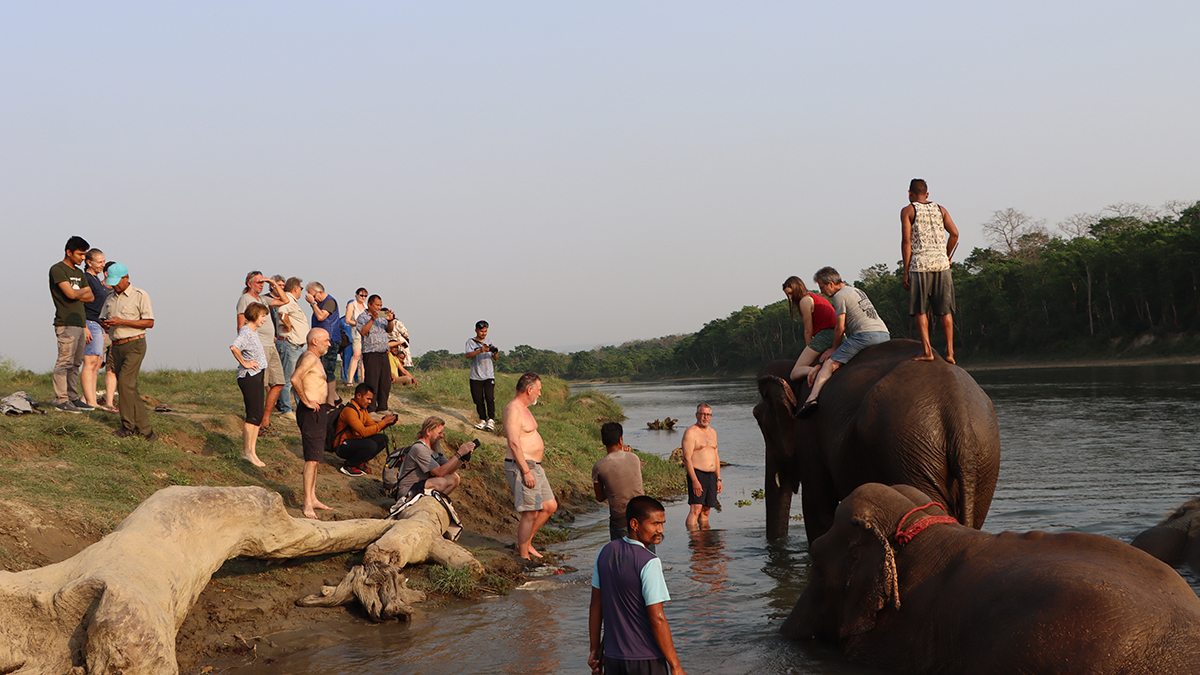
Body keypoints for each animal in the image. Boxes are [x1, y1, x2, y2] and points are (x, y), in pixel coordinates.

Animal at [753, 338, 998, 538]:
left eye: (758, 419)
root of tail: (958, 415)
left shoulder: (809, 429)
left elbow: (818, 511)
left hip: (907, 450)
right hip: (981, 459)